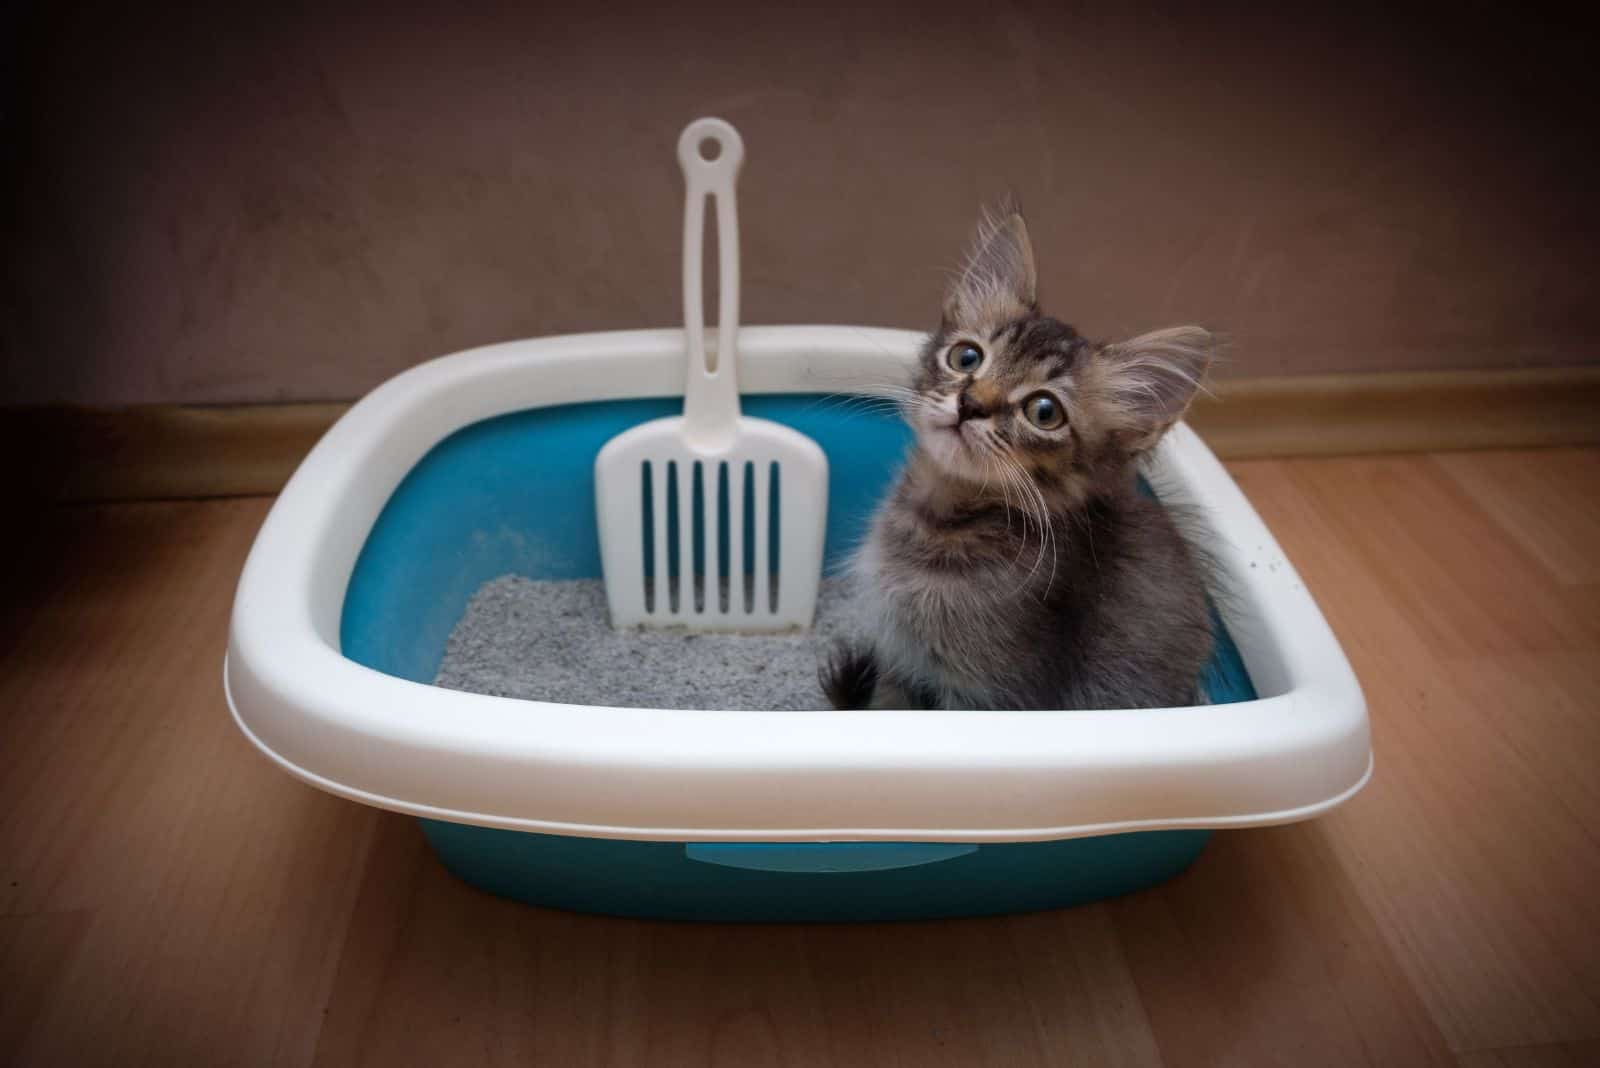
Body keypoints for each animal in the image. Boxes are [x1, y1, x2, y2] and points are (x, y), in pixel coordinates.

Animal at [825, 207, 1209, 709]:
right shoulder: (897, 657)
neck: (937, 522)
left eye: (1044, 411)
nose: (971, 404)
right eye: (966, 358)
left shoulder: (993, 693)